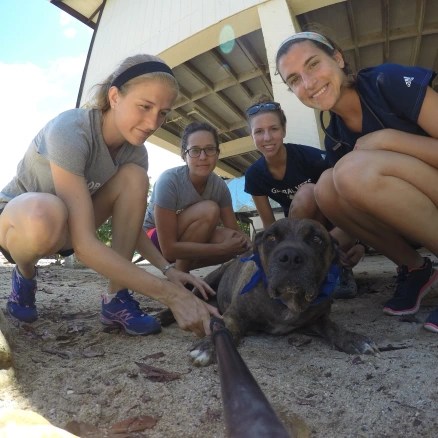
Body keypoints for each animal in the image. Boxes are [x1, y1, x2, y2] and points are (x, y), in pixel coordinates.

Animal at [188, 218, 378, 366]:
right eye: (271, 237)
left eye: (316, 239)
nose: (291, 257)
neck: (288, 299)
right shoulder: (234, 314)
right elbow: (224, 328)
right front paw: (209, 346)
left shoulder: (317, 319)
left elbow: (333, 327)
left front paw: (353, 338)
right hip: (207, 282)